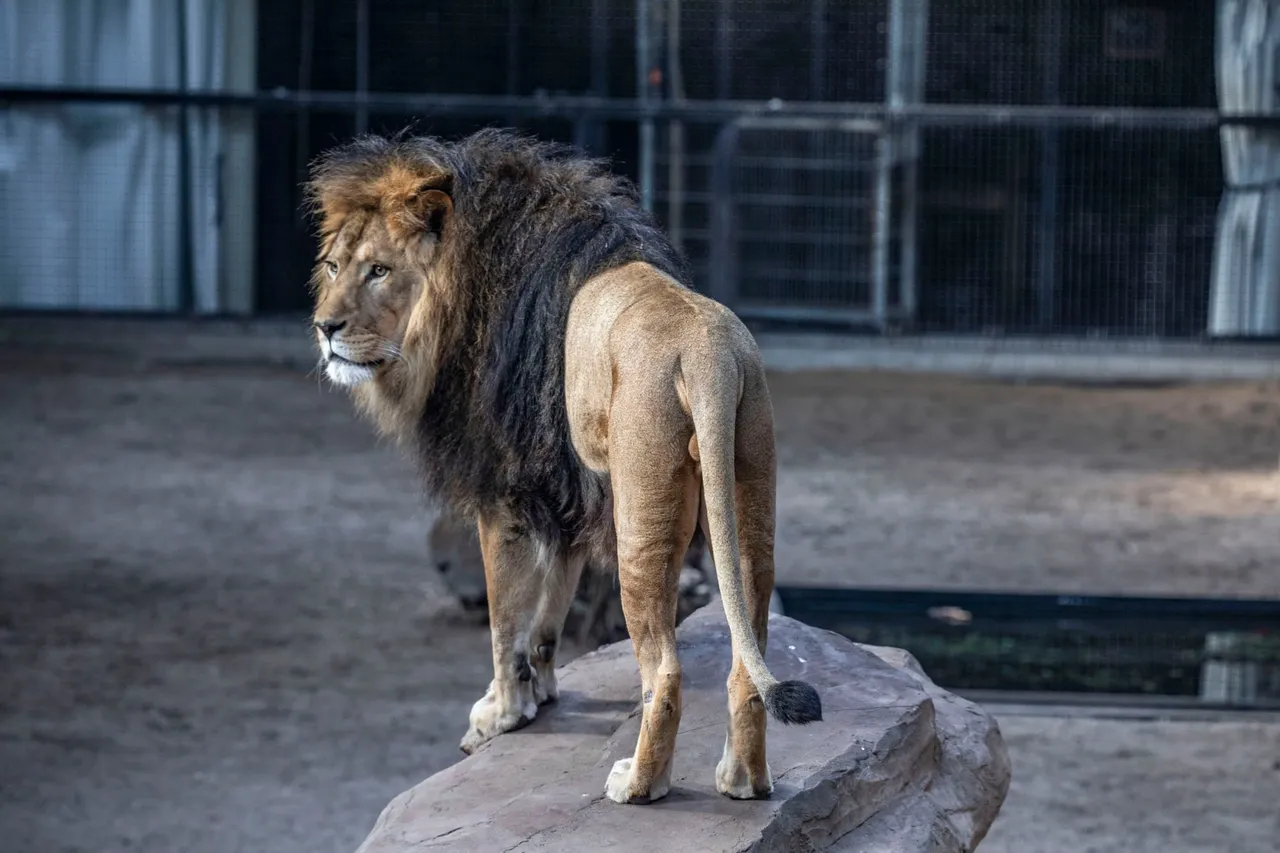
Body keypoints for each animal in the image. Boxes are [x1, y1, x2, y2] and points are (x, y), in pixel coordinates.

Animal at [305, 128, 821, 804]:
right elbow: (547, 615)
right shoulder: (565, 494)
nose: (325, 327)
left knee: (665, 672)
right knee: (747, 647)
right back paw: (743, 782)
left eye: (379, 270)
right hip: (746, 499)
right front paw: (541, 694)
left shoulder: (503, 494)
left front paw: (500, 714)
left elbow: (504, 621)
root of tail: (709, 355)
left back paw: (639, 785)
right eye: (333, 267)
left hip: (643, 521)